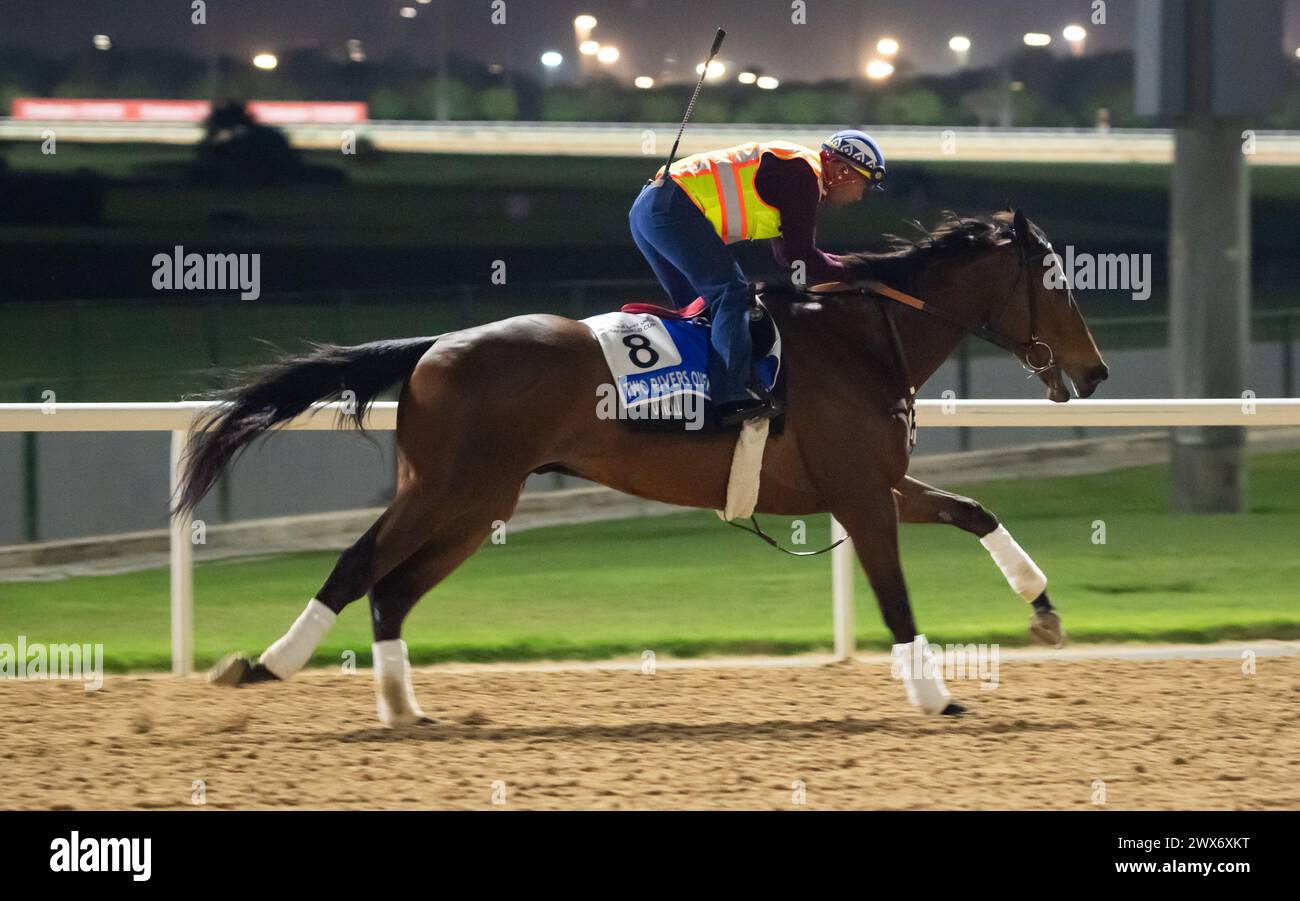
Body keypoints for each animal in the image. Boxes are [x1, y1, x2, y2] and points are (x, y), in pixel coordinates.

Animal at [183, 209, 1107, 722]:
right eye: (1059, 282)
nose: (1095, 371)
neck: (862, 341)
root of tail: (434, 345)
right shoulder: (858, 492)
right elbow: (896, 597)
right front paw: (934, 694)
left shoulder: (870, 482)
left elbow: (976, 510)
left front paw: (1044, 608)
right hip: (448, 490)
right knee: (355, 565)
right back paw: (265, 664)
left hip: (477, 503)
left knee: (392, 591)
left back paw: (405, 708)